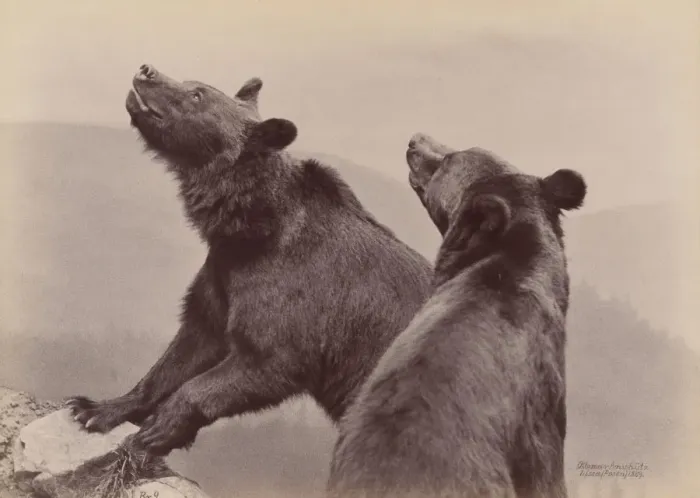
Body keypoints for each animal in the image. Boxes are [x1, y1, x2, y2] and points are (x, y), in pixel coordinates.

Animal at [66, 64, 433, 457]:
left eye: (197, 95)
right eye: (193, 83)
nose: (147, 70)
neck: (251, 227)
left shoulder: (296, 294)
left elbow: (266, 358)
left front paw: (161, 427)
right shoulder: (223, 274)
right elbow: (192, 342)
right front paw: (95, 408)